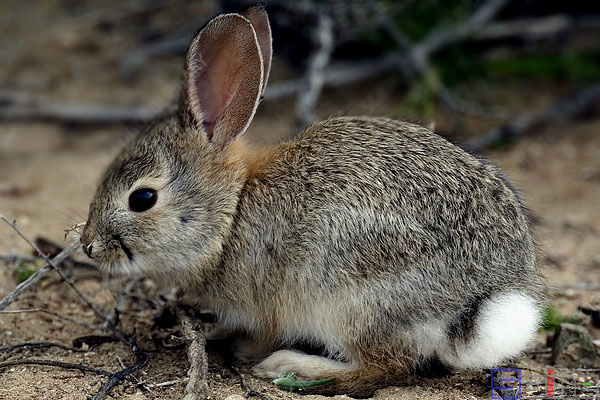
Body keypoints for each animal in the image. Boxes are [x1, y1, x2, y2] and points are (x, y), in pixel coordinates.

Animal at [82, 6, 548, 396]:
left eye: (143, 198)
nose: (88, 245)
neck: (230, 213)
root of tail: (480, 301)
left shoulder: (266, 304)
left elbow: (262, 334)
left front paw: (242, 349)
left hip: (349, 299)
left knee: (383, 368)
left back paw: (293, 367)